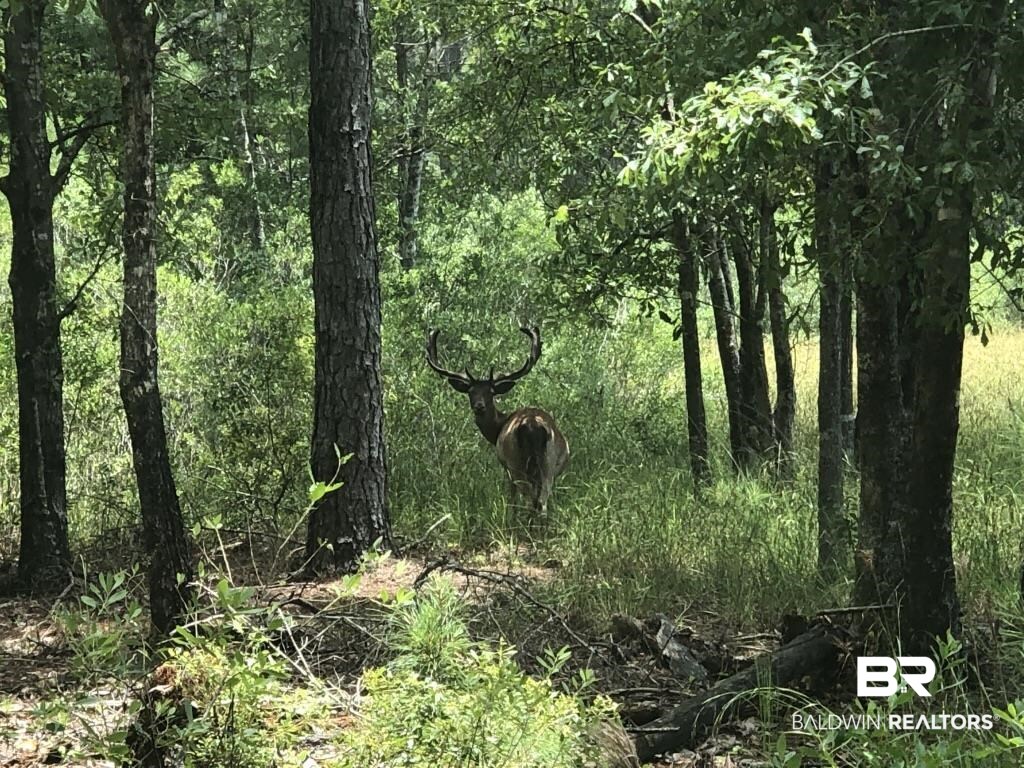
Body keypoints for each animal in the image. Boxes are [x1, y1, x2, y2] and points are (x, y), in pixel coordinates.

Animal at [426, 326, 569, 517]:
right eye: (471, 392)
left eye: (491, 392)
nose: (479, 406)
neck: (498, 427)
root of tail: (532, 426)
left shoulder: (506, 468)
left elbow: (512, 501)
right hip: (548, 464)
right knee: (541, 502)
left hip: (516, 462)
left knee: (530, 501)